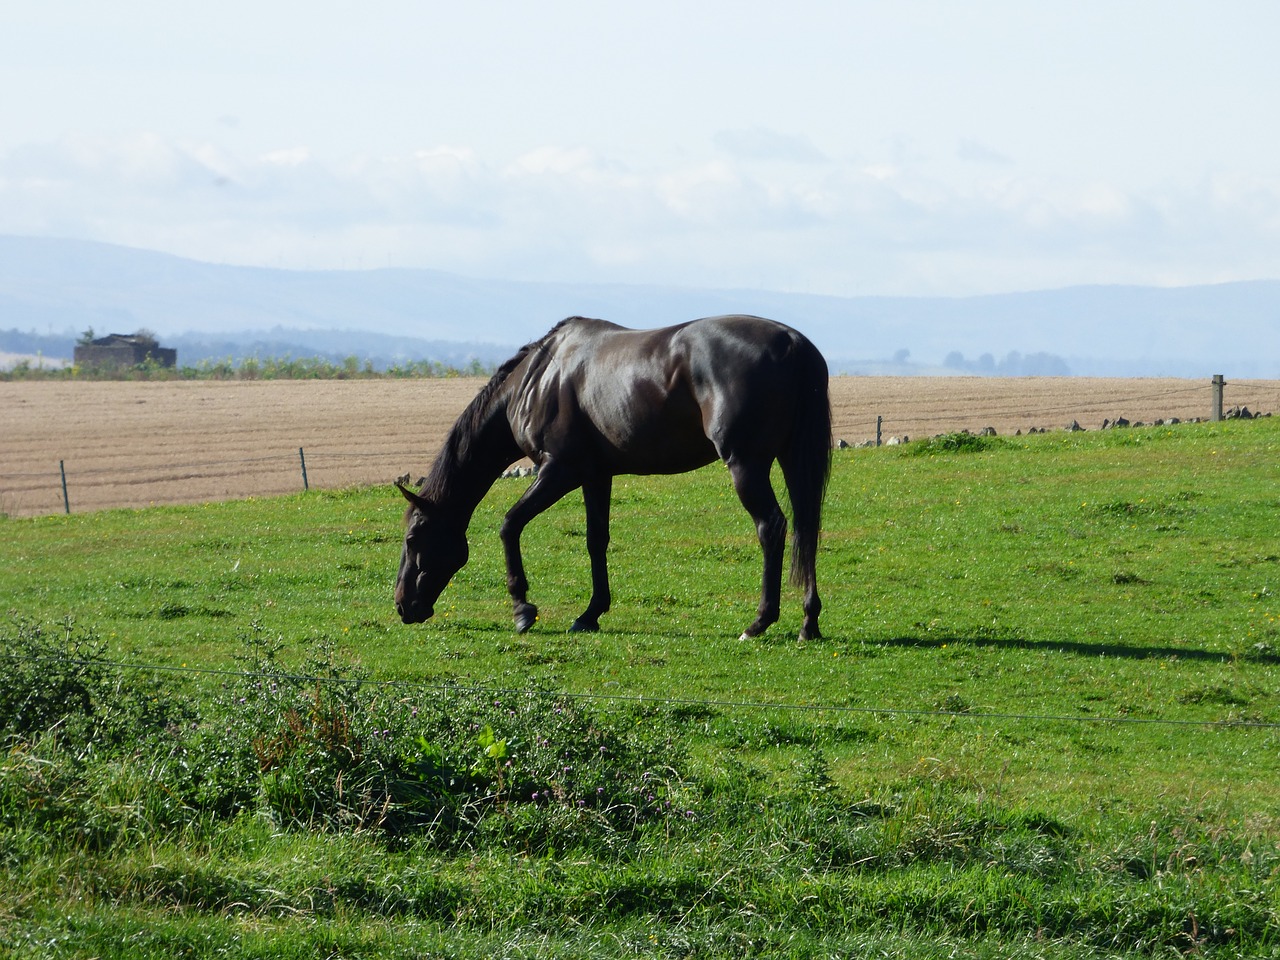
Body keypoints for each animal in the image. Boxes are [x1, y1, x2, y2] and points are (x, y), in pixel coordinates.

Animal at [394, 316, 834, 642]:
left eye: (414, 538)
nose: (402, 605)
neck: (538, 378)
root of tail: (793, 343)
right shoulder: (596, 476)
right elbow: (596, 540)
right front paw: (590, 613)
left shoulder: (559, 470)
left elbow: (510, 525)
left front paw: (522, 609)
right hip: (790, 459)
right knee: (806, 527)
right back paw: (808, 622)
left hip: (746, 464)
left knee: (771, 527)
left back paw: (759, 622)